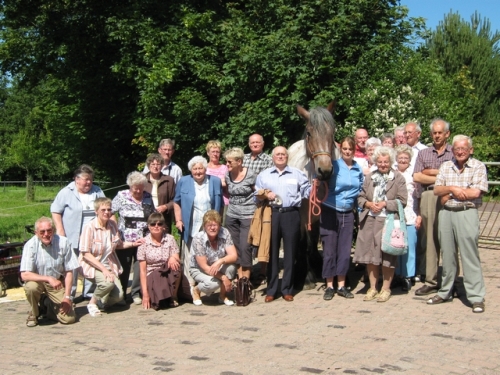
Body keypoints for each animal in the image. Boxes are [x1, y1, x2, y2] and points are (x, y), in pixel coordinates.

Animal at [288, 102, 338, 290]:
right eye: (309, 133)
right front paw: (305, 278)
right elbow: (303, 242)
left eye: (332, 132)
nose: (325, 170)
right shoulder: (302, 215)